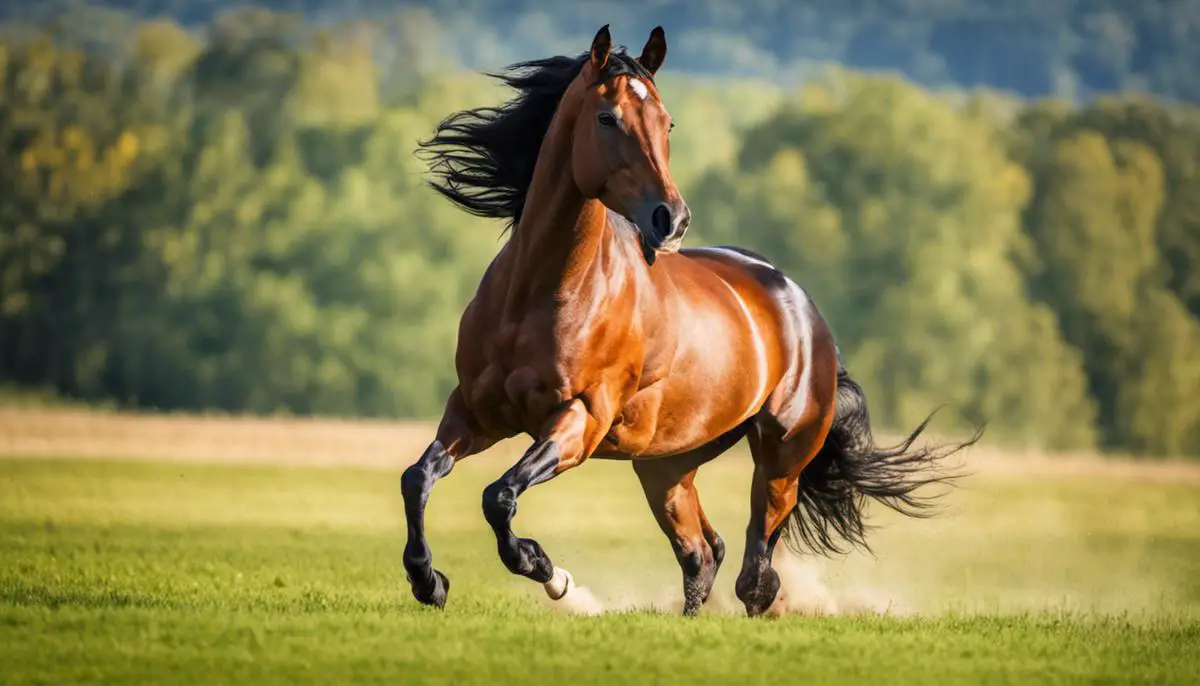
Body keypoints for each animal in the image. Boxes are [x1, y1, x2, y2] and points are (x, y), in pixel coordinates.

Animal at [403, 25, 984, 614]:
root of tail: (805, 311)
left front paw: (548, 571)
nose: (672, 219)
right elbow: (419, 477)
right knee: (704, 553)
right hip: (666, 466)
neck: (540, 294)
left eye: (667, 123)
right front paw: (428, 581)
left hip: (780, 462)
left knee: (755, 572)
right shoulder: (475, 412)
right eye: (606, 118)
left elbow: (498, 496)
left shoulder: (580, 421)